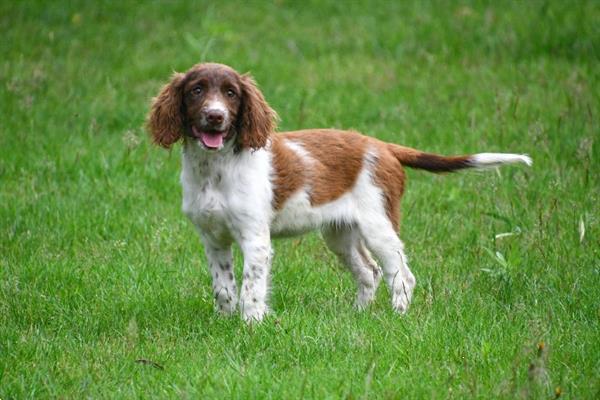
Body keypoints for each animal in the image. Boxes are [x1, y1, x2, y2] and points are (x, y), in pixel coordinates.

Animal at [148, 62, 532, 322]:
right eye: (197, 90)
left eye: (231, 93)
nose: (215, 117)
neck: (215, 169)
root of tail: (384, 146)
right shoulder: (213, 238)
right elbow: (224, 286)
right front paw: (225, 321)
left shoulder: (255, 239)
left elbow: (250, 288)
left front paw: (251, 325)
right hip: (340, 233)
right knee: (369, 271)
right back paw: (358, 315)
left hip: (379, 224)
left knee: (401, 274)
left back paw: (399, 316)